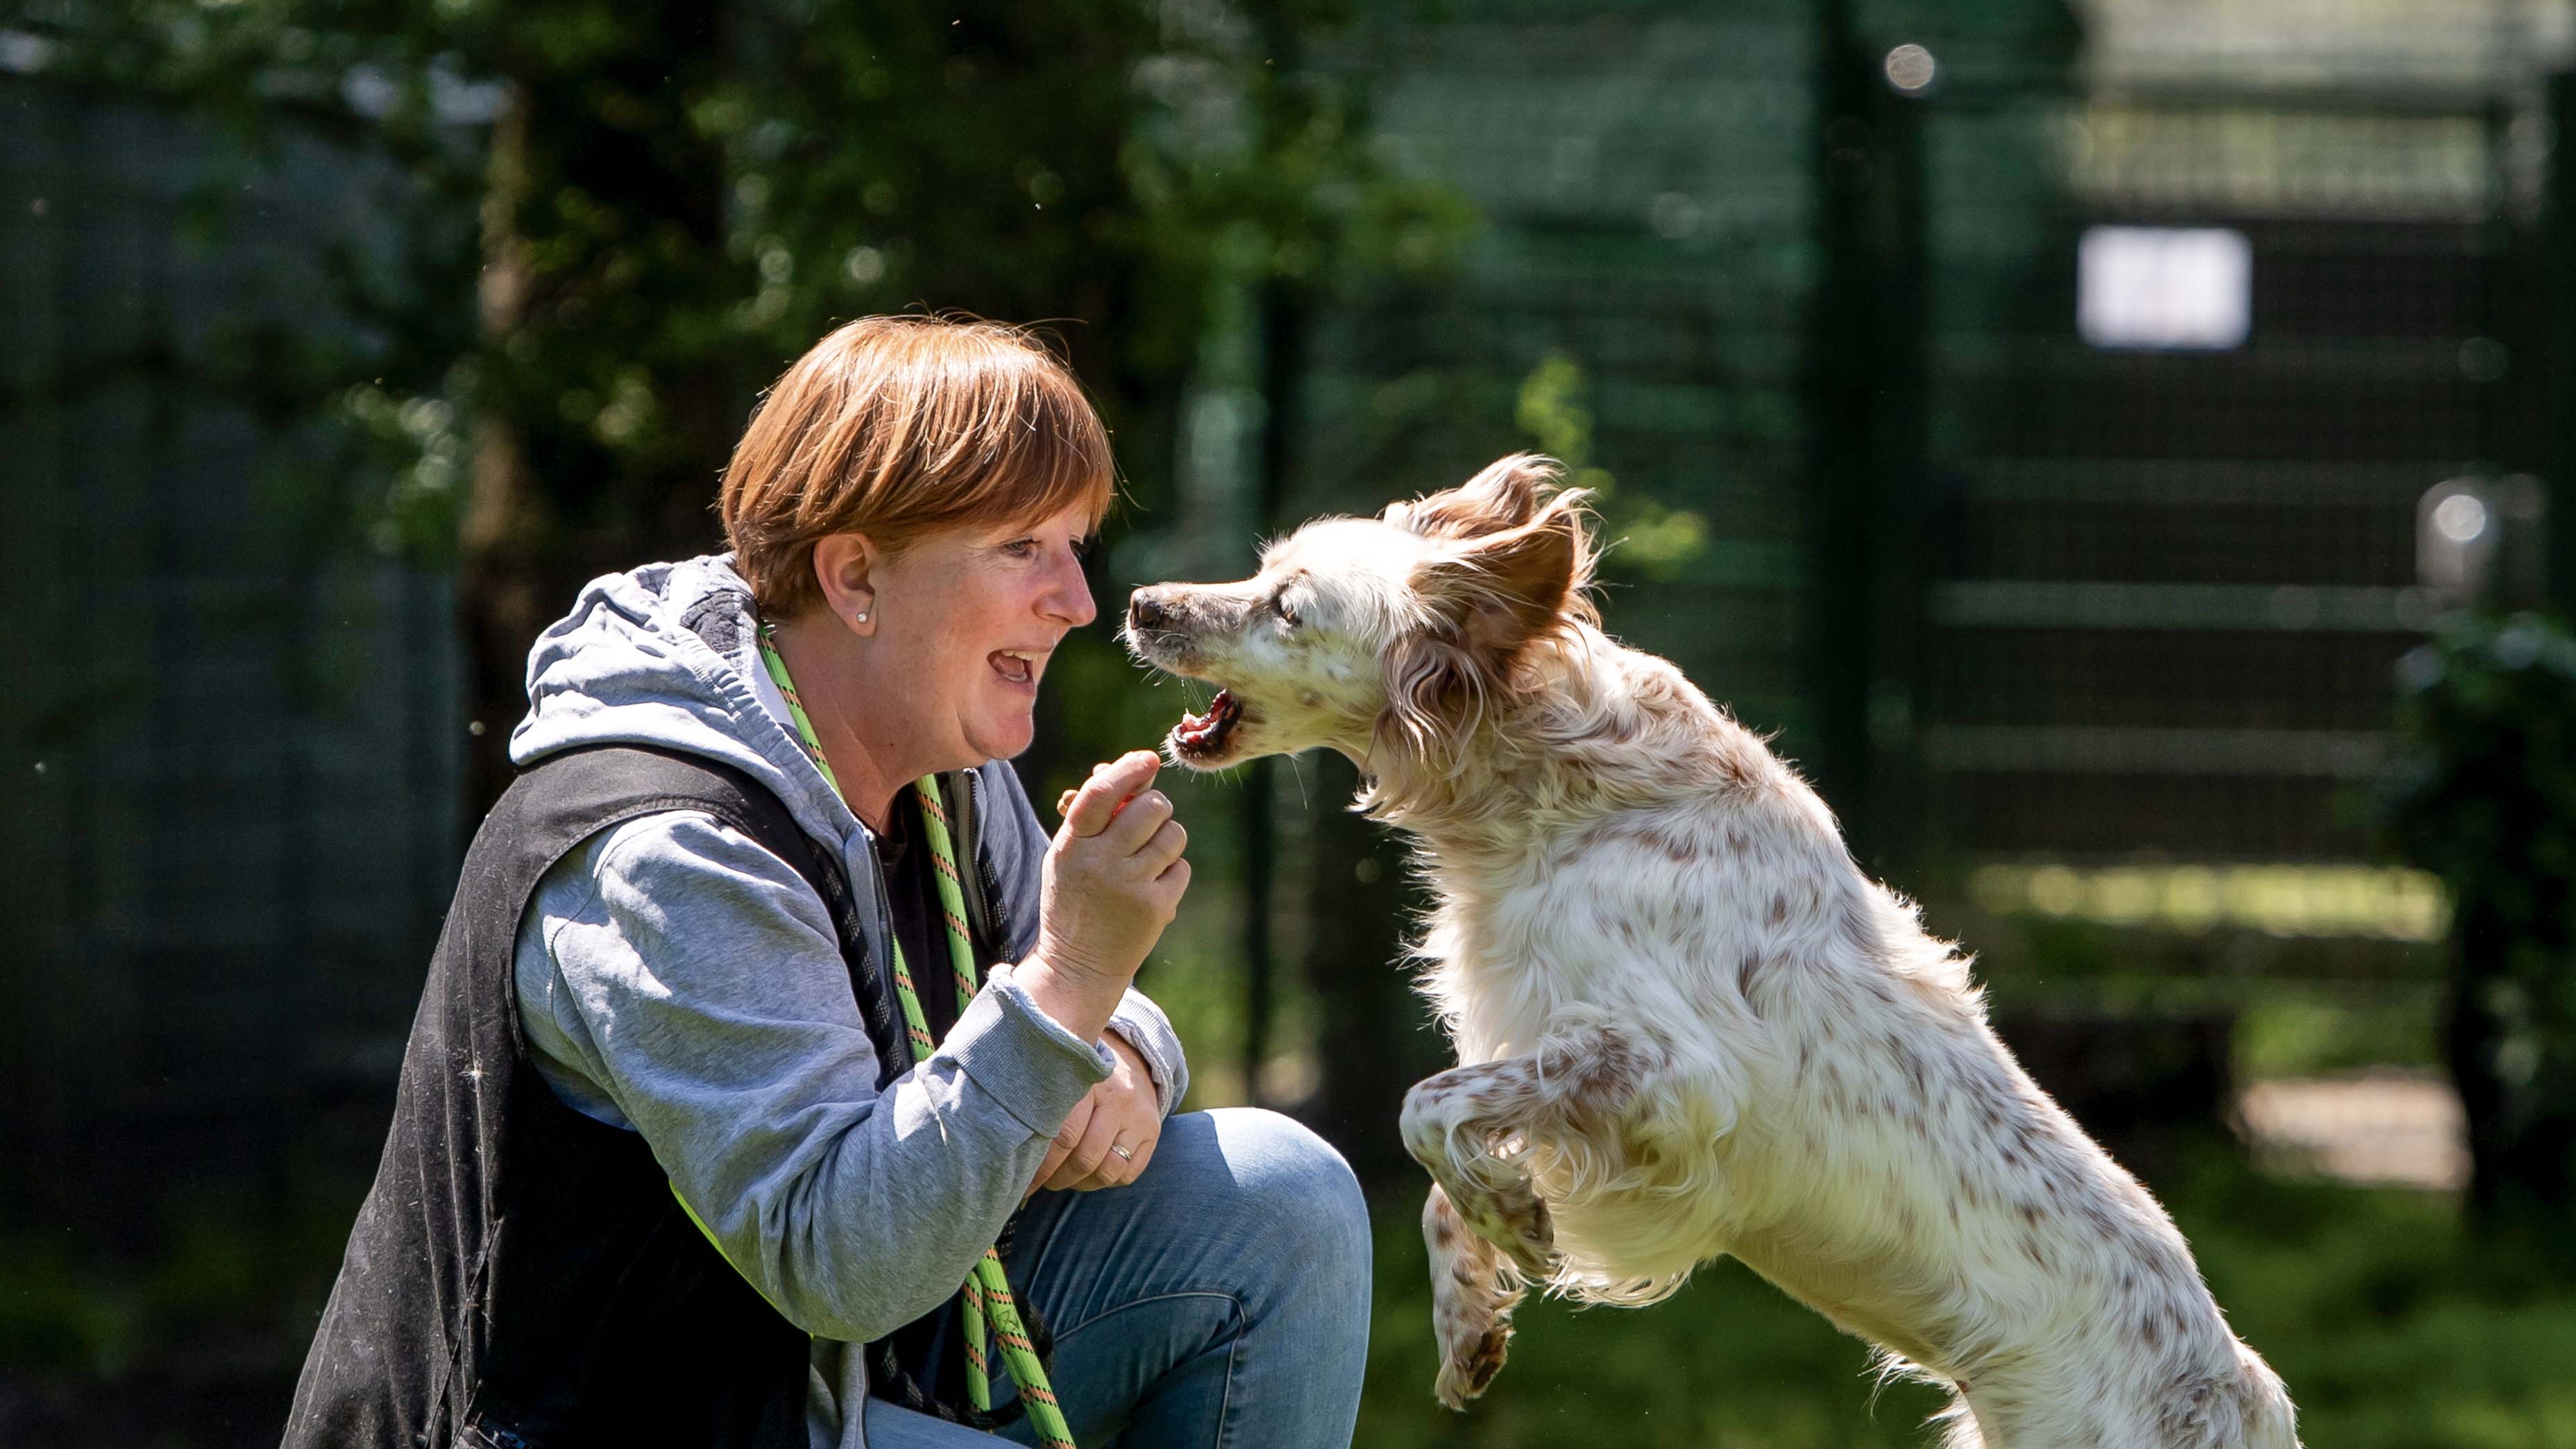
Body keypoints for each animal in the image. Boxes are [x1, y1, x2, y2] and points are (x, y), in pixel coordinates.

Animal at [1118, 456, 2307, 1443]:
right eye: (1262, 568)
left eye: (1288, 605)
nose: (1141, 603)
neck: (1562, 788)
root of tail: (2245, 1396)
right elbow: (1439, 1167)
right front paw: (1471, 1311)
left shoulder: (1666, 1076)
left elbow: (1427, 1109)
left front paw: (1519, 1223)